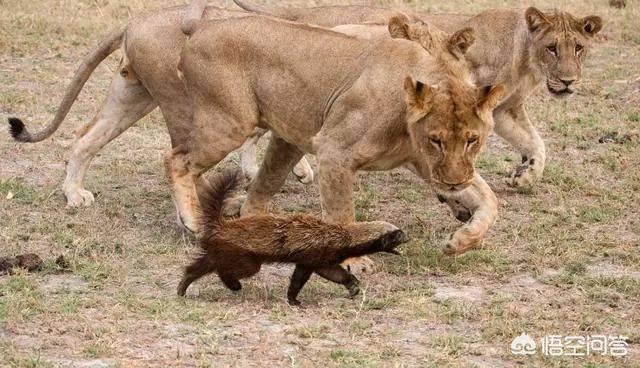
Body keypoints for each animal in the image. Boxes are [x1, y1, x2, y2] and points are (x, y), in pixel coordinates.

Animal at [169, 15, 504, 266]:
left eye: (473, 140)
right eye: (436, 140)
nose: (453, 184)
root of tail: (202, 26)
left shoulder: (429, 165)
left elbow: (489, 198)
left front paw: (461, 241)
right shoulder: (334, 151)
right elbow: (342, 215)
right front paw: (353, 262)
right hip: (229, 124)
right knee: (176, 160)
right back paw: (194, 220)